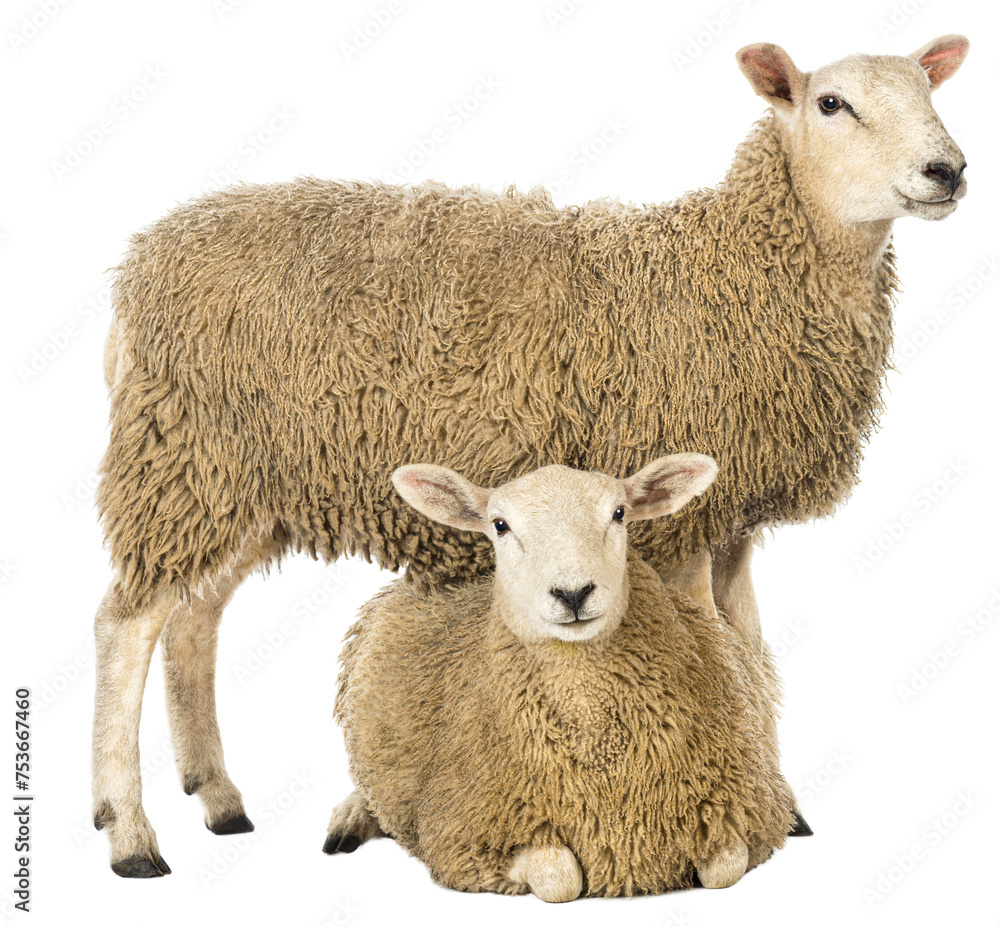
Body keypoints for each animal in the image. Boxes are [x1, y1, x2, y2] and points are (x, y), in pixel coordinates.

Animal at [327, 454, 794, 900]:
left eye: (619, 513)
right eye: (500, 525)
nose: (573, 593)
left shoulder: (739, 809)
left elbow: (723, 869)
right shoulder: (465, 832)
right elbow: (560, 880)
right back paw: (349, 820)